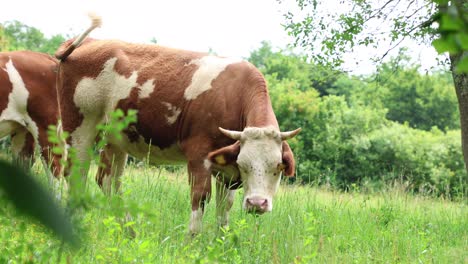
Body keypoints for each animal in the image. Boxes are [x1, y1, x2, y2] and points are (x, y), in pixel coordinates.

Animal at [54, 16, 302, 234]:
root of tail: (90, 42)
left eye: (278, 167)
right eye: (245, 165)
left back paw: (129, 232)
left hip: (117, 138)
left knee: (108, 180)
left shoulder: (227, 171)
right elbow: (200, 198)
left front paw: (220, 244)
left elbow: (224, 209)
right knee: (77, 175)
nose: (256, 204)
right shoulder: (199, 155)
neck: (234, 96)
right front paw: (192, 242)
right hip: (80, 127)